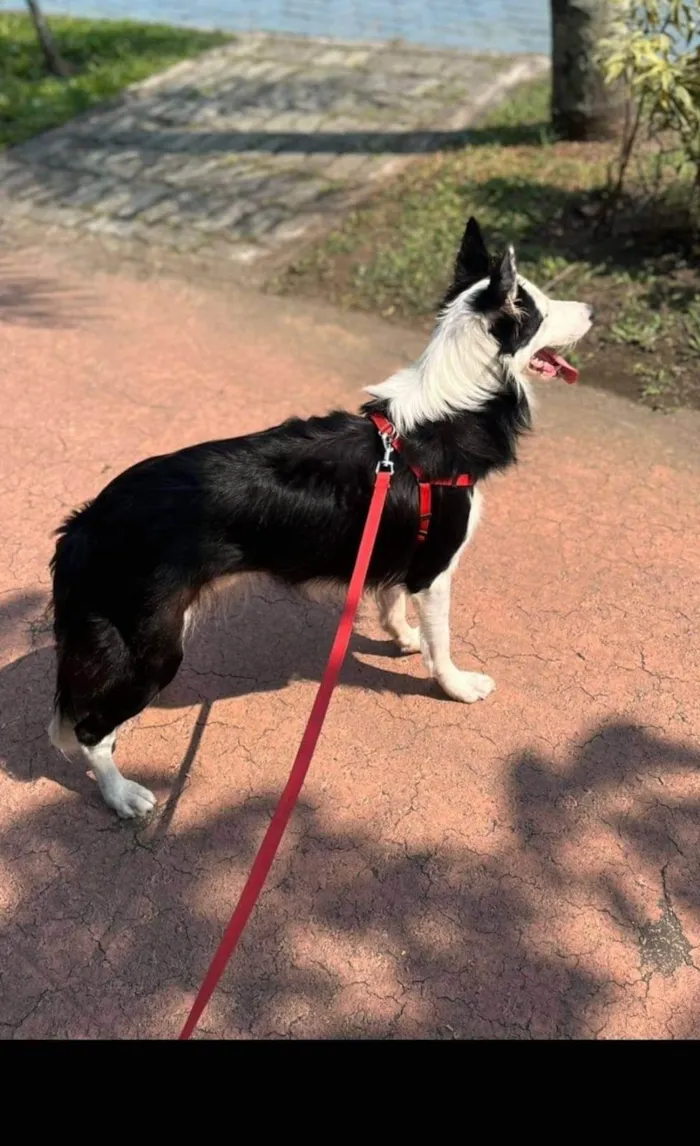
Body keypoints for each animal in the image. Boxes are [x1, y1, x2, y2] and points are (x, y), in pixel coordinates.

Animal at [49, 218, 595, 820]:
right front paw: (455, 684)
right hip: (152, 646)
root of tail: (87, 522)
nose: (592, 309)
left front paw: (402, 635)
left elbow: (390, 598)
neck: (445, 414)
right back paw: (121, 793)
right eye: (540, 308)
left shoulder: (395, 544)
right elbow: (442, 640)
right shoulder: (435, 568)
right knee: (89, 730)